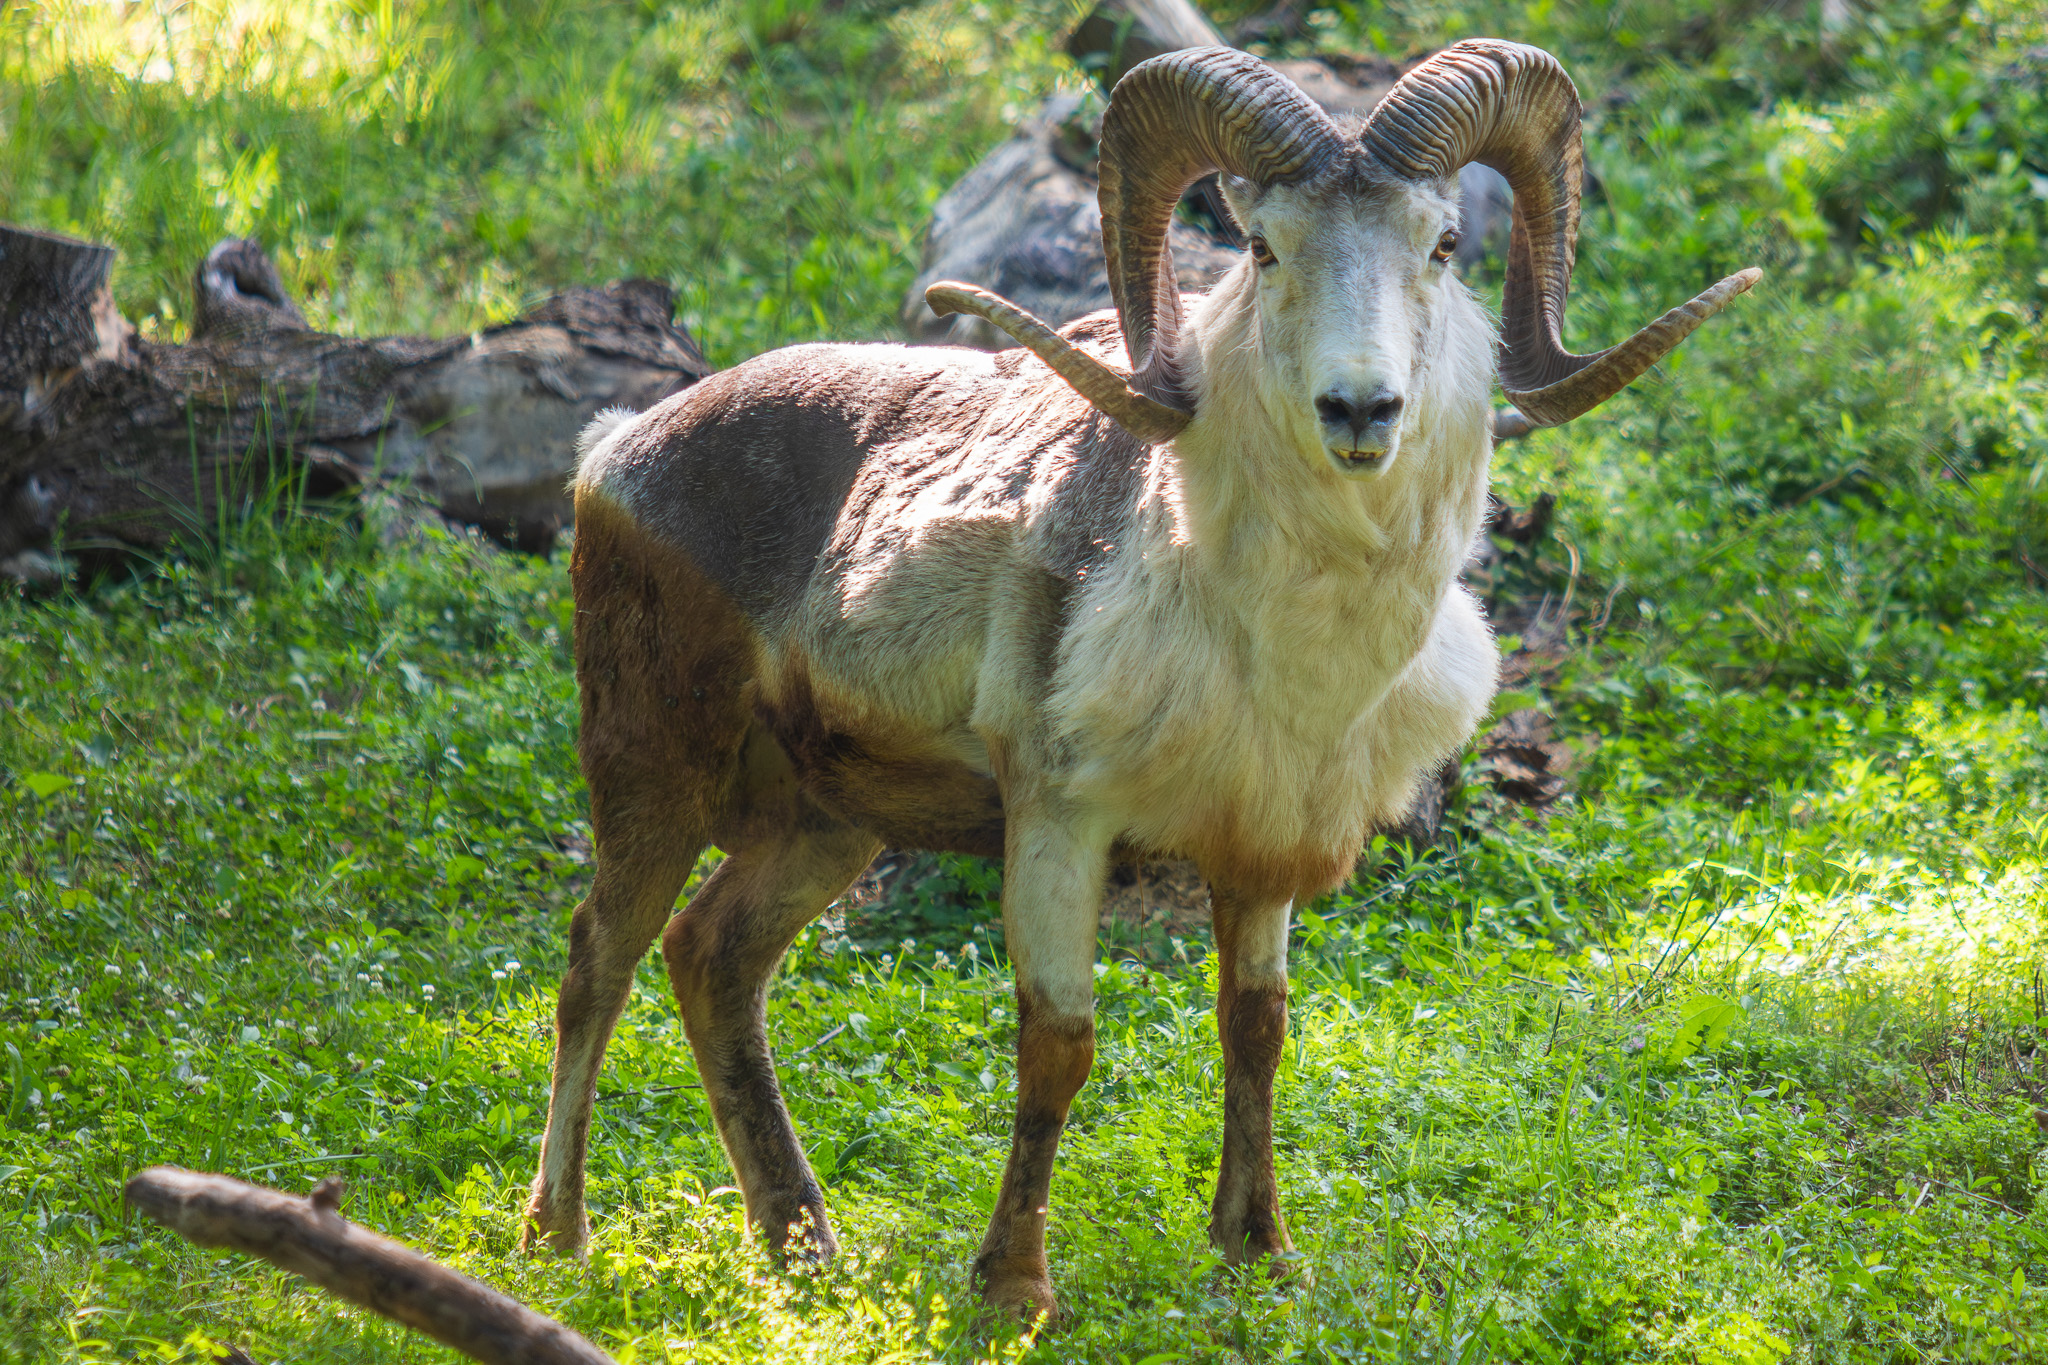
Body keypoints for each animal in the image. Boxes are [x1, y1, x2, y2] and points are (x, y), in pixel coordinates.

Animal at [521, 40, 1759, 1318]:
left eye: (1441, 244)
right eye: (1262, 247)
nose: (1359, 409)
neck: (1273, 638)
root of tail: (613, 453)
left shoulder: (1256, 853)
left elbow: (1253, 1027)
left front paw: (1256, 1252)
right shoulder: (1057, 824)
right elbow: (1059, 1044)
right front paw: (1013, 1291)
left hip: (824, 829)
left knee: (710, 959)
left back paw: (801, 1244)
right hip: (650, 779)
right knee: (596, 960)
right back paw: (557, 1240)